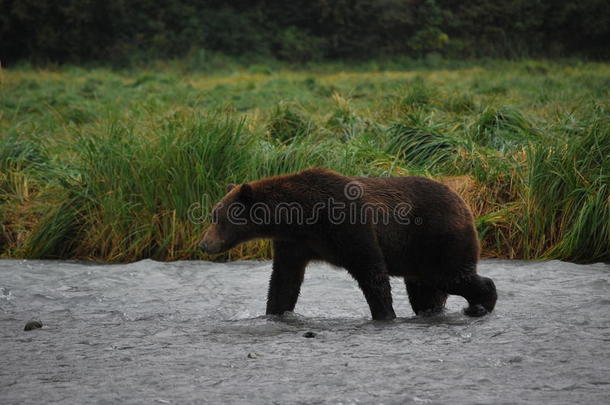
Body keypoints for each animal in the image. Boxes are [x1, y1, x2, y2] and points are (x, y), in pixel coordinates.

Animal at [200, 167, 494, 318]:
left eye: (218, 217)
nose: (204, 244)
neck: (300, 216)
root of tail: (461, 199)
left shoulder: (346, 223)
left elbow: (371, 270)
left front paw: (384, 314)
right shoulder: (295, 243)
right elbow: (284, 280)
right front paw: (273, 312)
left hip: (436, 237)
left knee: (451, 275)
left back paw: (482, 303)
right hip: (416, 254)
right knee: (425, 289)